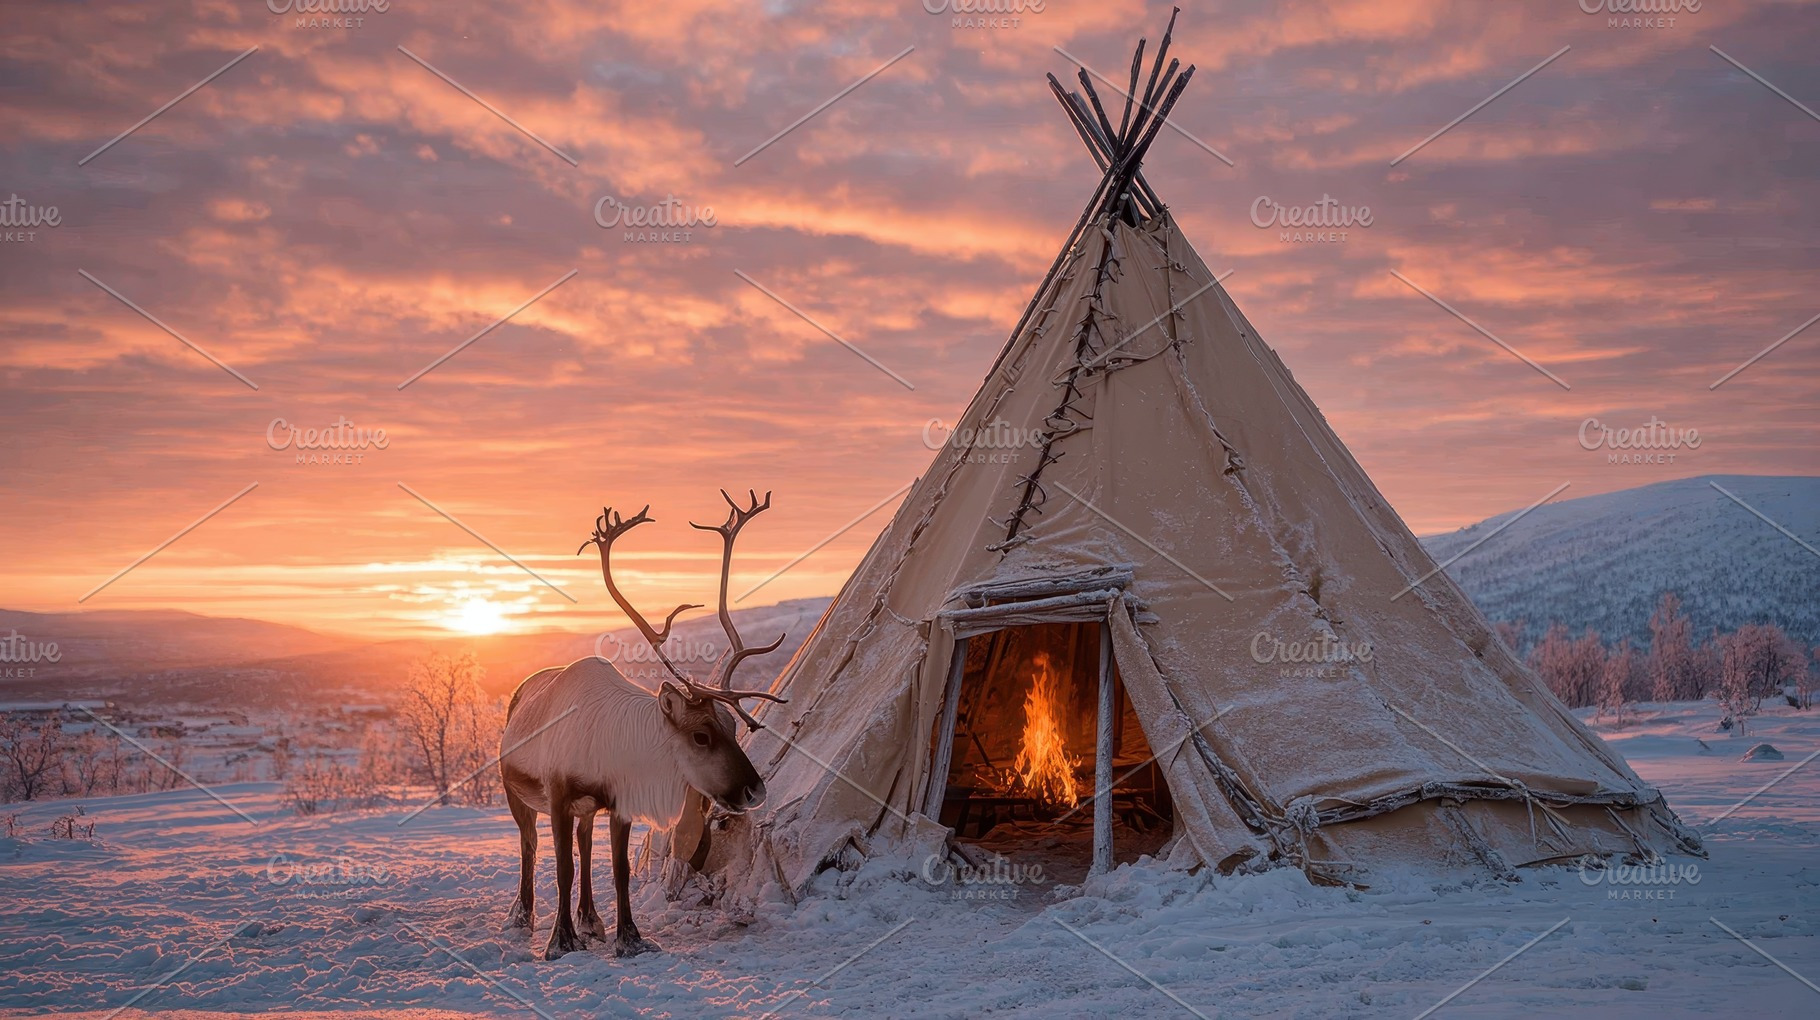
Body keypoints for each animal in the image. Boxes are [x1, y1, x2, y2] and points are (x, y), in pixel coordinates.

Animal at [499, 490, 787, 960]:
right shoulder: (559, 795)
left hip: (584, 811)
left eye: (734, 725)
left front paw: (629, 938)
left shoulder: (619, 802)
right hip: (515, 792)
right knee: (530, 846)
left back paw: (591, 920)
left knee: (584, 845)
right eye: (701, 735)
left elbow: (617, 869)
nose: (755, 791)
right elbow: (561, 867)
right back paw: (522, 917)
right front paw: (560, 942)